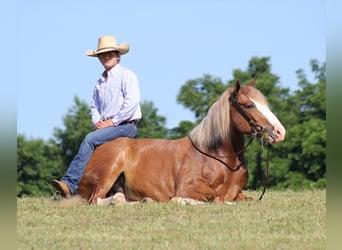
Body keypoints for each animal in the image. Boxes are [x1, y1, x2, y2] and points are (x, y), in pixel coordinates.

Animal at [75, 79, 286, 204]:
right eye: (249, 105)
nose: (279, 131)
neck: (218, 157)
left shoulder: (239, 193)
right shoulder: (188, 187)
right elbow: (216, 198)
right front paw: (180, 201)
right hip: (110, 170)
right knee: (97, 200)